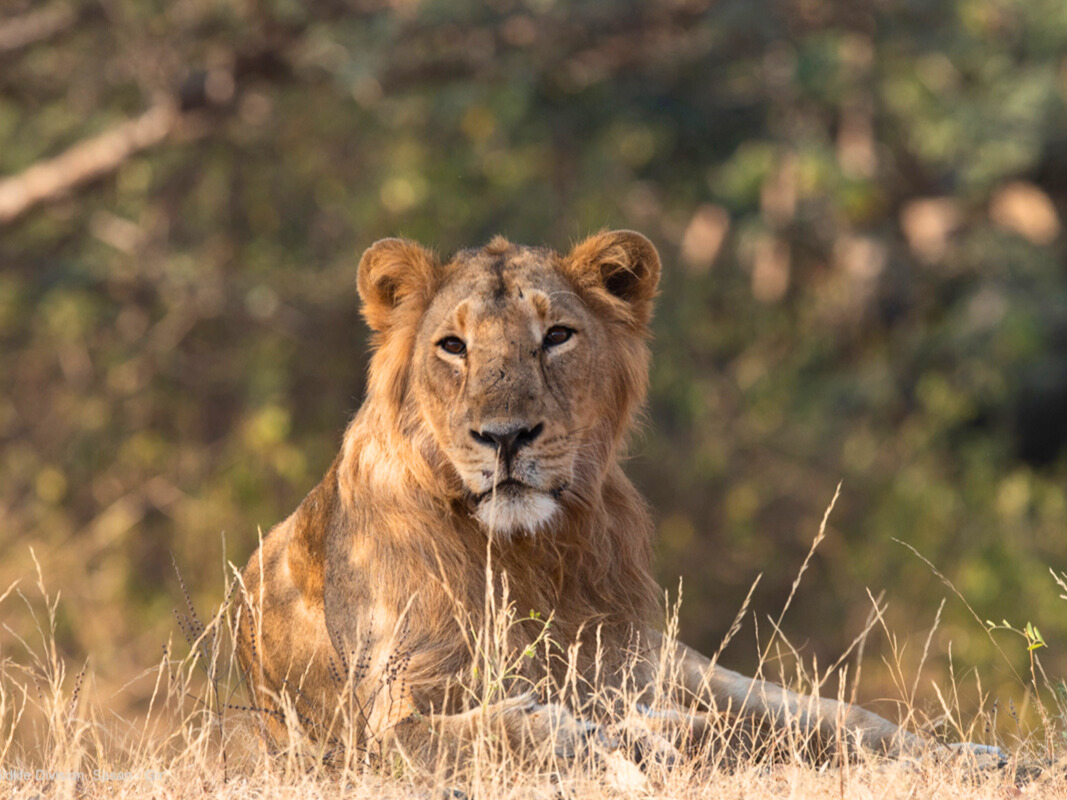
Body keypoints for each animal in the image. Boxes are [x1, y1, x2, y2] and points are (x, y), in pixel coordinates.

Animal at [235, 230, 990, 772]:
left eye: (556, 336)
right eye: (452, 346)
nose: (505, 436)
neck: (529, 555)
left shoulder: (621, 668)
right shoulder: (369, 726)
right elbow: (464, 736)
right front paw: (580, 736)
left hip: (678, 661)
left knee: (833, 718)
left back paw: (973, 754)